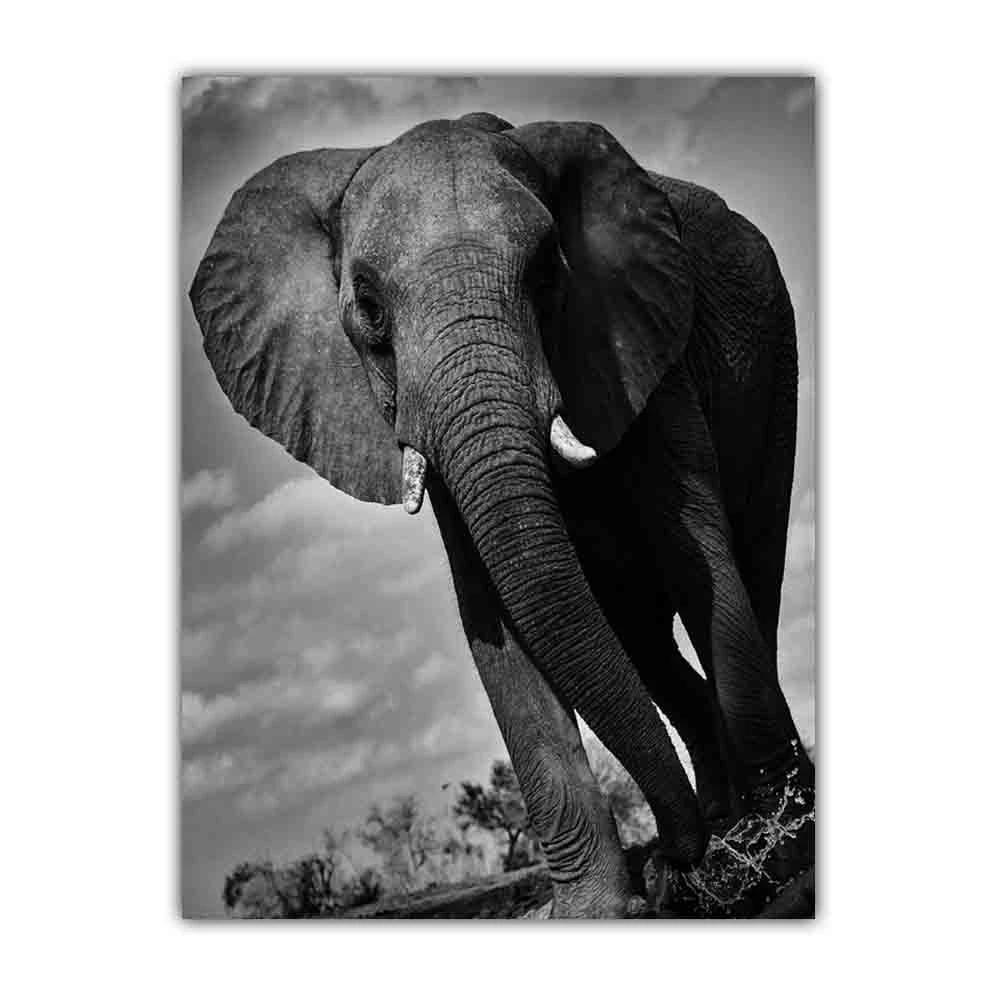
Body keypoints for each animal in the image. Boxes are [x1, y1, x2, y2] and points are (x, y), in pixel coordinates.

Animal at [189, 111, 815, 918]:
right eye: (370, 309)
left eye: (548, 275)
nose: (671, 867)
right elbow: (492, 612)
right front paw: (600, 913)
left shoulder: (642, 344)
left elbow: (694, 553)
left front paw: (774, 858)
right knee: (638, 640)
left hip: (775, 369)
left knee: (751, 571)